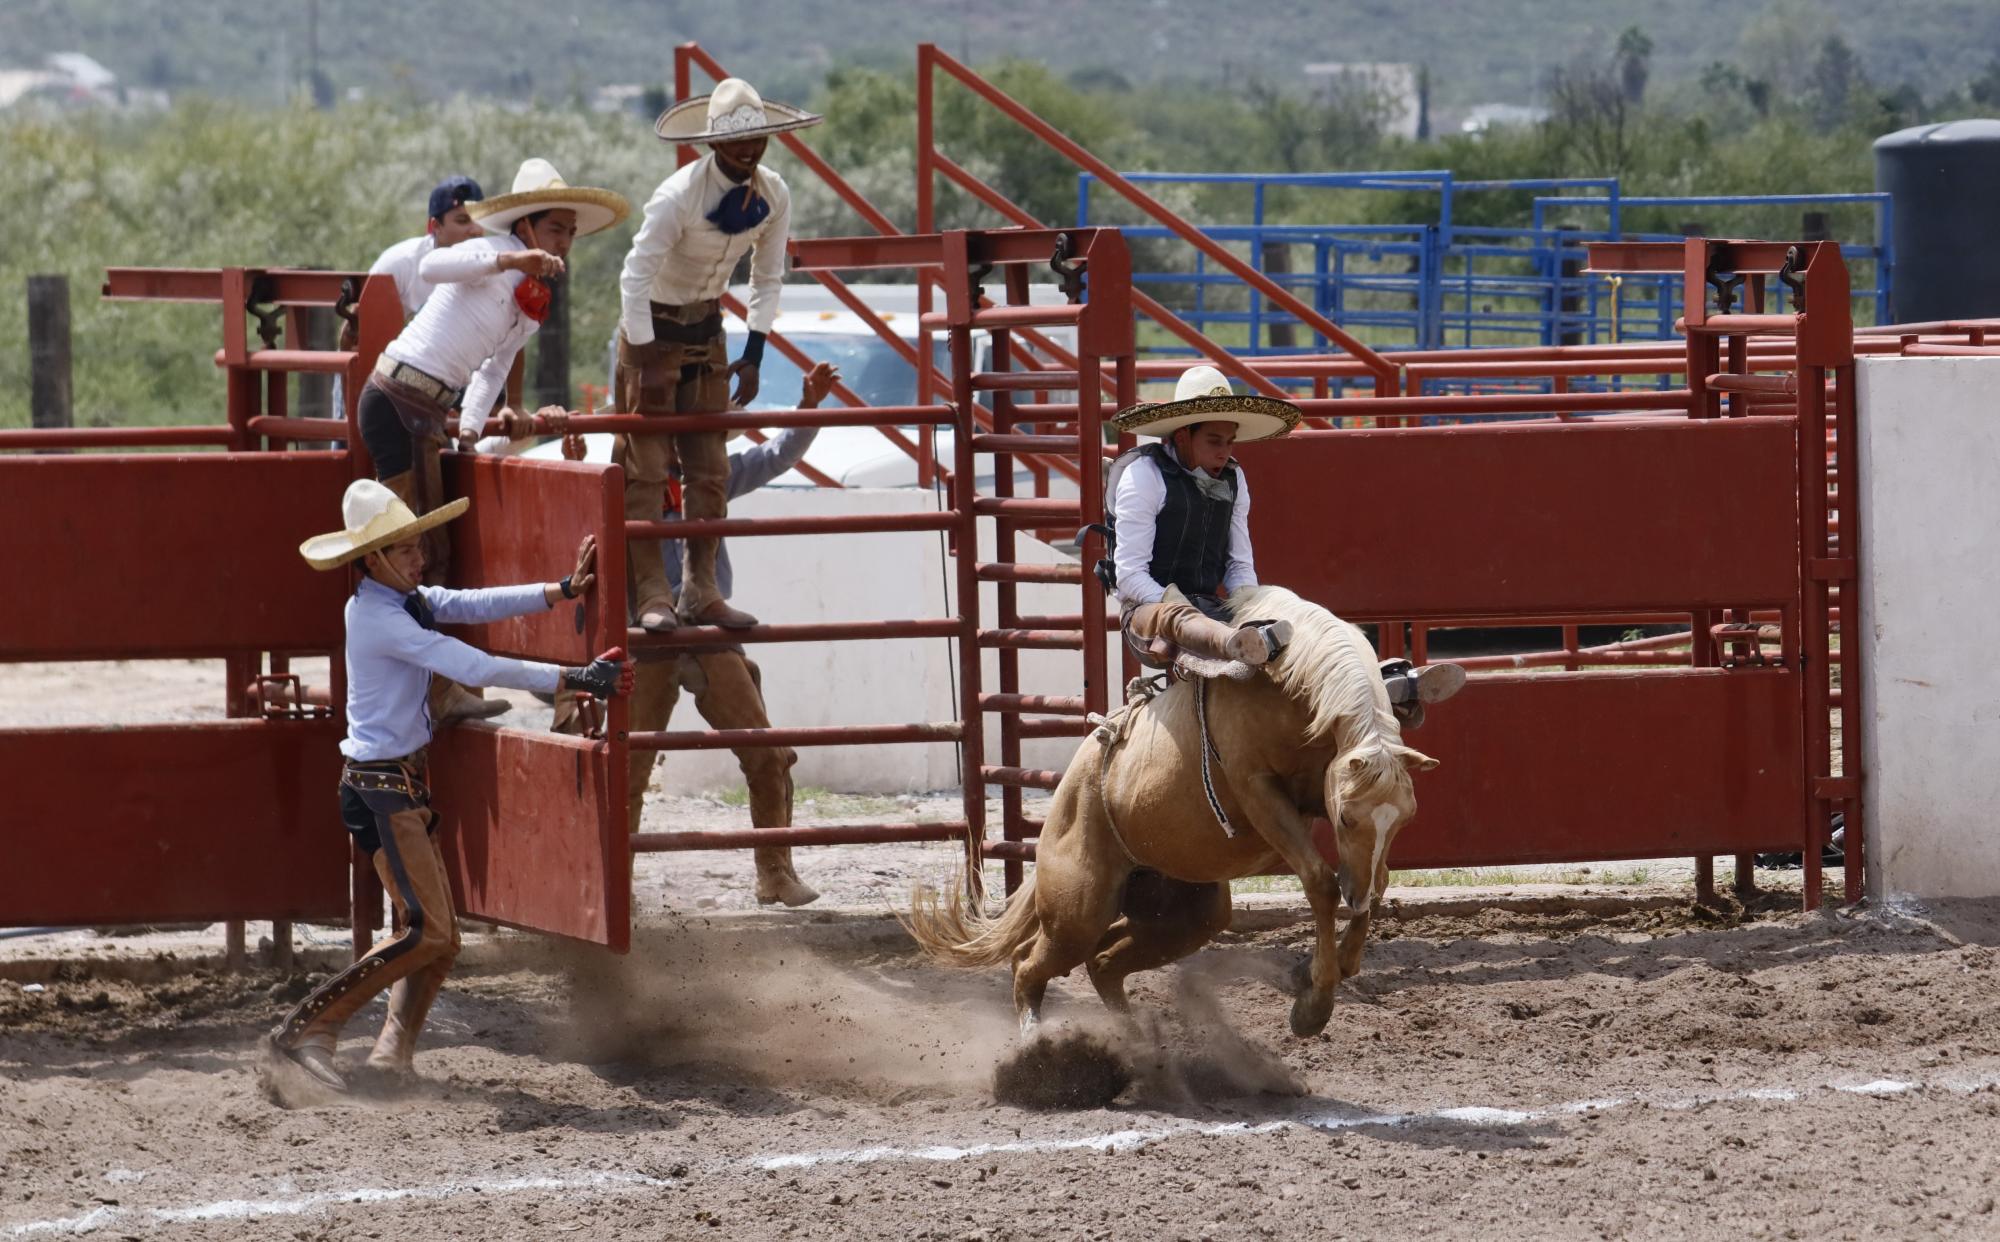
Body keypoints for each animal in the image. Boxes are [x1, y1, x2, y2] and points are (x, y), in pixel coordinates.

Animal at [908, 588, 1440, 1032]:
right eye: (1347, 817)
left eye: (1404, 821)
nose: (1358, 894)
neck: (1294, 690)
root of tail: (1067, 794)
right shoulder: (1259, 792)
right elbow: (1321, 881)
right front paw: (1314, 1004)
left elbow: (1377, 880)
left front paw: (1335, 963)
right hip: (1077, 912)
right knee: (1030, 963)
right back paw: (1039, 1044)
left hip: (1184, 911)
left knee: (1103, 961)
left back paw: (1138, 1043)